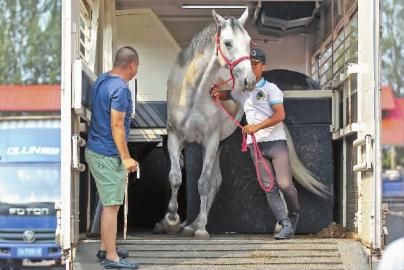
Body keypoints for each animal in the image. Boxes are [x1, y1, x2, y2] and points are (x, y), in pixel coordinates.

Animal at [156, 9, 330, 239]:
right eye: (228, 43)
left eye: (248, 42)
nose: (248, 80)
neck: (193, 94)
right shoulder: (175, 139)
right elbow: (175, 177)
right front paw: (172, 221)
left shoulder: (210, 142)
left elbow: (203, 183)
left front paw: (199, 229)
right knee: (215, 181)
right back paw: (191, 225)